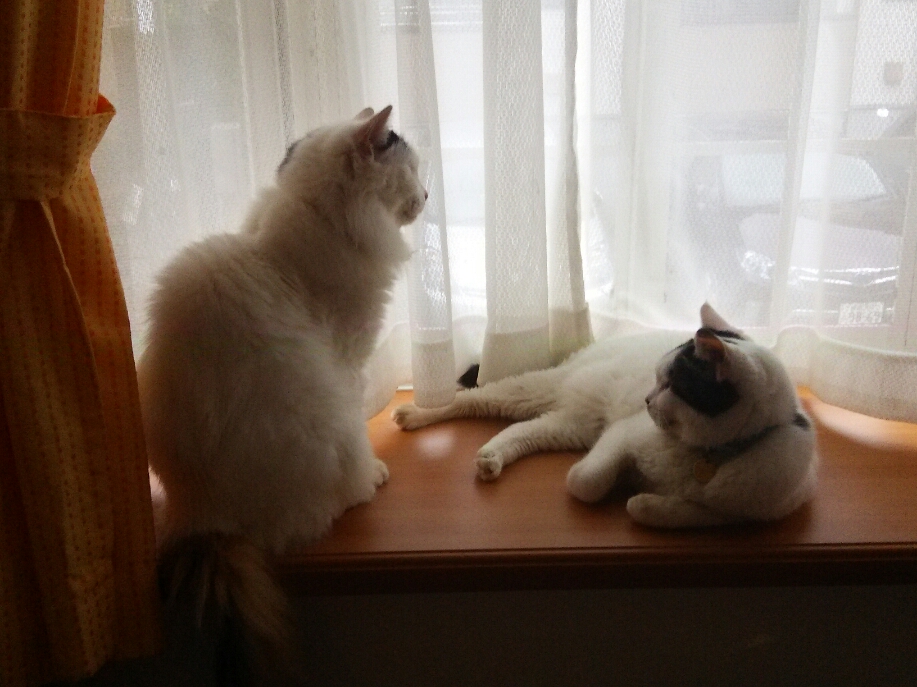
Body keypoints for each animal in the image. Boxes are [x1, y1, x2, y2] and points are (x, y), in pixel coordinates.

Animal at [138, 106, 425, 680]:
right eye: (412, 171)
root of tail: (208, 520)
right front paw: (375, 466)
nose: (427, 196)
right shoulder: (347, 355)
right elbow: (359, 411)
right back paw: (366, 482)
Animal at [393, 304, 817, 528]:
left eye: (670, 385)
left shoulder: (750, 513)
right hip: (541, 393)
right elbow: (586, 482)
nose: (646, 400)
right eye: (657, 379)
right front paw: (619, 489)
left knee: (519, 428)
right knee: (474, 399)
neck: (707, 454)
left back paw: (490, 459)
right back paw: (415, 414)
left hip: (569, 427)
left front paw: (643, 503)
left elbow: (693, 512)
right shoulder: (620, 437)